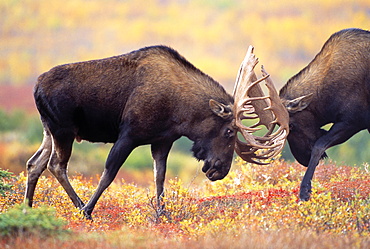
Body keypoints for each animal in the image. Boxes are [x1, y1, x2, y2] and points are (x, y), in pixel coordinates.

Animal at [25, 44, 290, 218]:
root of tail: (36, 87)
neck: (182, 113)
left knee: (34, 163)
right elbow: (108, 174)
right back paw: (81, 208)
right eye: (229, 131)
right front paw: (90, 209)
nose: (220, 170)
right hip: (63, 129)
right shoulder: (128, 135)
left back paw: (26, 208)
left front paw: (162, 213)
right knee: (56, 165)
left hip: (49, 131)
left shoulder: (162, 141)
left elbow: (159, 177)